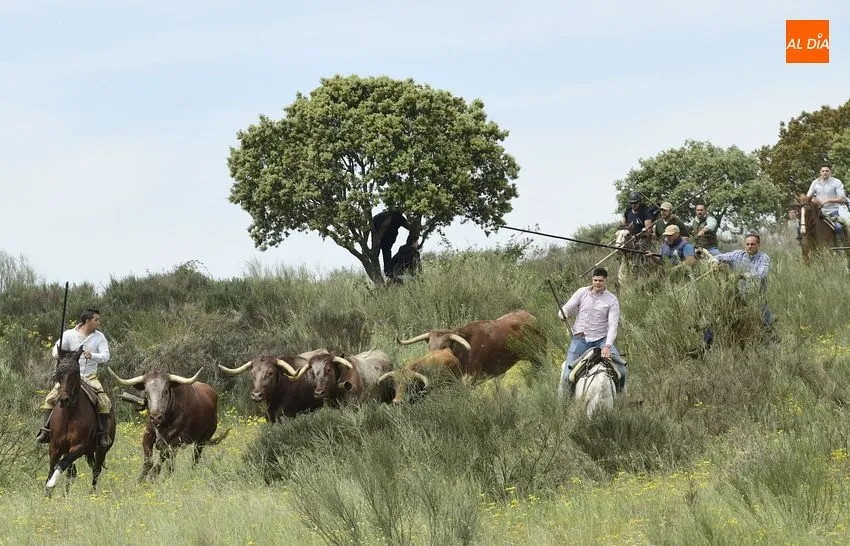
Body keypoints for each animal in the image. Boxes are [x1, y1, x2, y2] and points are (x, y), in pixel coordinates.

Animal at [44, 346, 115, 497]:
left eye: (76, 372)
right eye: (59, 372)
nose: (64, 399)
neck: (69, 414)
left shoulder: (79, 446)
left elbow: (61, 465)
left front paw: (51, 485)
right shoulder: (55, 446)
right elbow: (53, 467)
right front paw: (47, 493)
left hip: (101, 450)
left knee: (96, 470)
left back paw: (92, 494)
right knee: (71, 472)